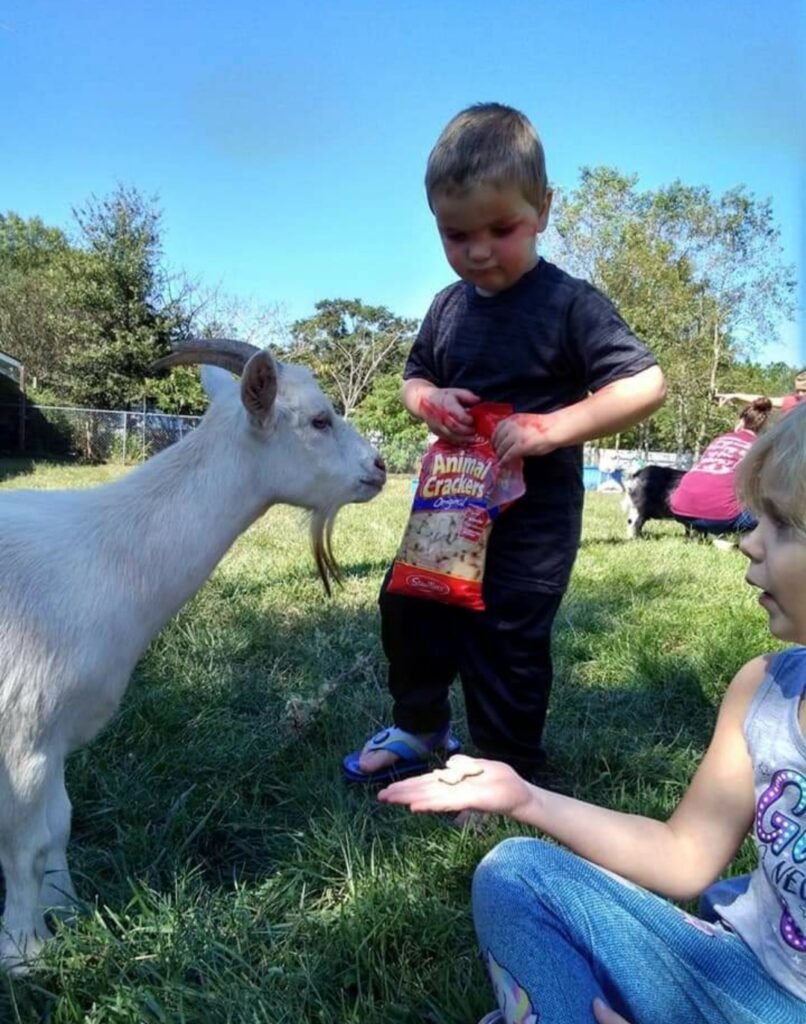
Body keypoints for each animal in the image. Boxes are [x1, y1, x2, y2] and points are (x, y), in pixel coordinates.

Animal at [0, 339, 386, 972]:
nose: (378, 468)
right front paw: (25, 953)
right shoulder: (23, 734)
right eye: (319, 420)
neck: (100, 555)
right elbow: (26, 845)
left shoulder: (54, 737)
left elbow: (59, 826)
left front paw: (74, 917)